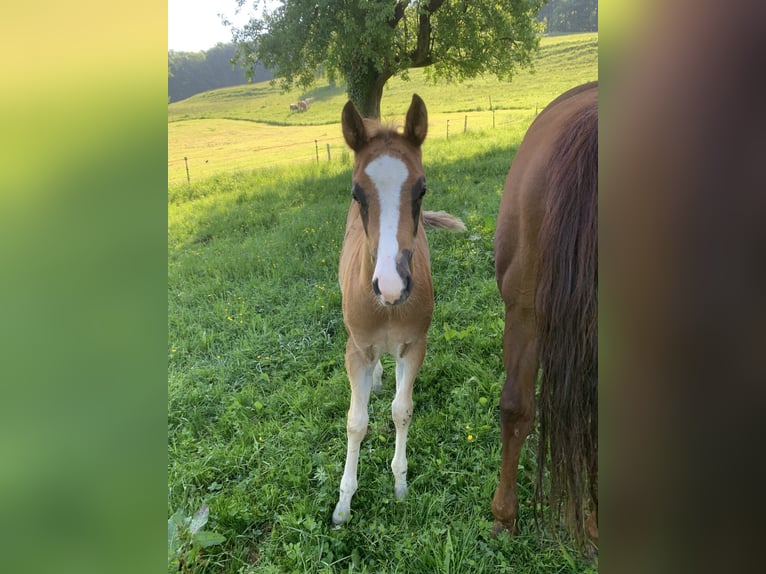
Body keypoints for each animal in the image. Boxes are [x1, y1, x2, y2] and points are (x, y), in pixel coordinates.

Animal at [332, 94, 464, 528]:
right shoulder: (355, 349)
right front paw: (343, 505)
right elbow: (356, 422)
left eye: (422, 190)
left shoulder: (415, 345)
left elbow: (401, 411)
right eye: (356, 194)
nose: (390, 286)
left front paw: (401, 484)